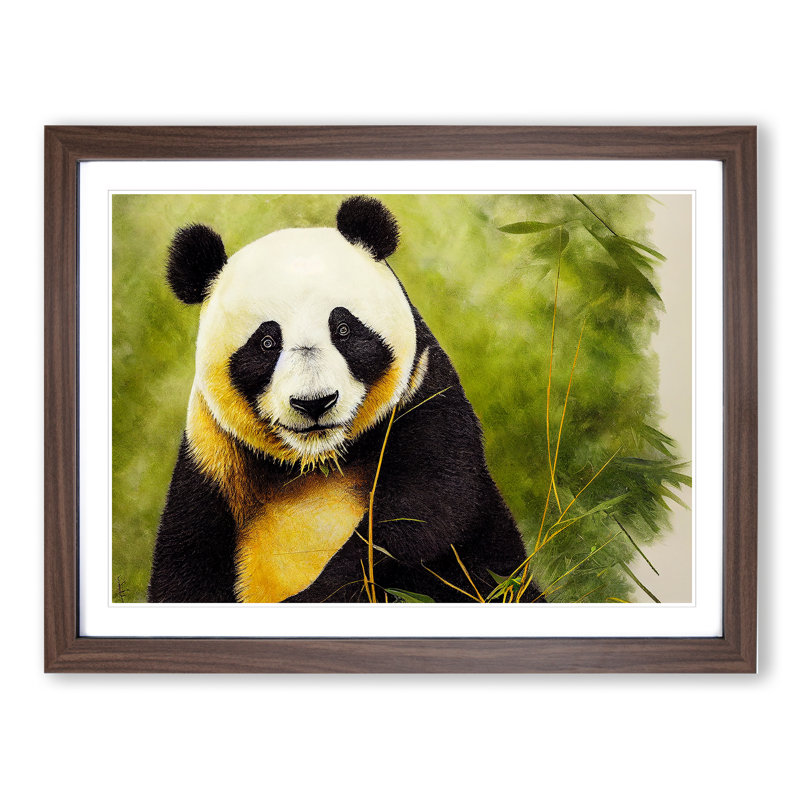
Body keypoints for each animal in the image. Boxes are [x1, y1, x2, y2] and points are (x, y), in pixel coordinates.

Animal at [148, 196, 544, 603]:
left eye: (343, 329)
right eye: (266, 343)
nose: (314, 403)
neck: (317, 463)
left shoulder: (422, 396)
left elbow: (424, 514)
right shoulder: (212, 456)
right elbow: (185, 563)